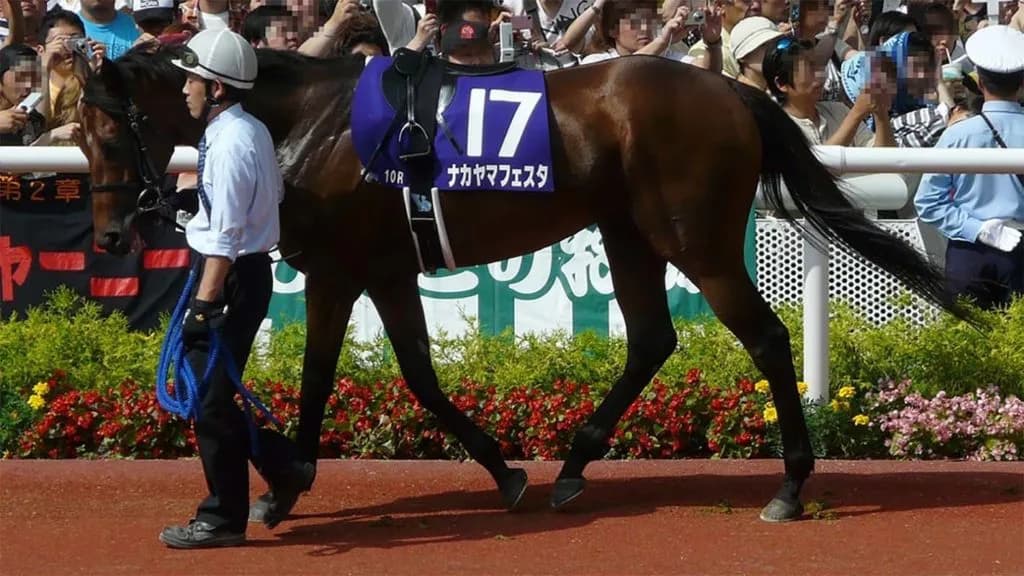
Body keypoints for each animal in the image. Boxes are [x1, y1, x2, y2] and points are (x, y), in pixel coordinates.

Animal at [75, 44, 974, 524]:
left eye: (109, 133)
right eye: (81, 138)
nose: (114, 236)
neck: (309, 124)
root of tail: (728, 87)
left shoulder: (336, 270)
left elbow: (318, 378)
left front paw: (284, 489)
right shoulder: (389, 269)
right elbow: (419, 375)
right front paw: (503, 470)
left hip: (698, 241)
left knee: (766, 337)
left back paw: (789, 484)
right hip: (628, 232)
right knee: (652, 338)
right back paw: (573, 465)